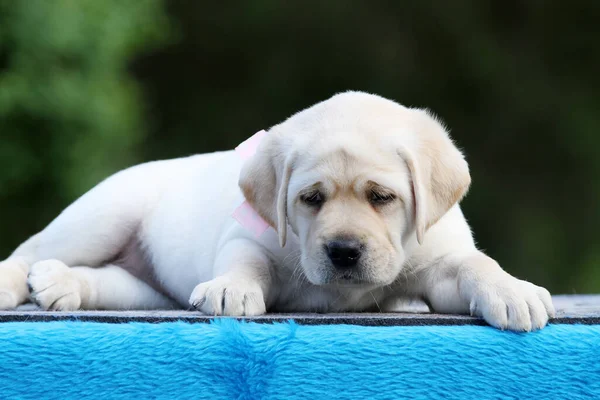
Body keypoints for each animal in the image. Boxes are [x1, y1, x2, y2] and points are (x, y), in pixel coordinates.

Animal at [0, 91, 552, 332]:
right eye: (311, 199)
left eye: (381, 197)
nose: (344, 251)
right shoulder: (250, 238)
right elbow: (243, 261)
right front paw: (231, 290)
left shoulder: (440, 263)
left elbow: (475, 264)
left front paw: (512, 291)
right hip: (104, 214)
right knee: (29, 250)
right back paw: (18, 282)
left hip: (142, 288)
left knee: (108, 282)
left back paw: (62, 285)